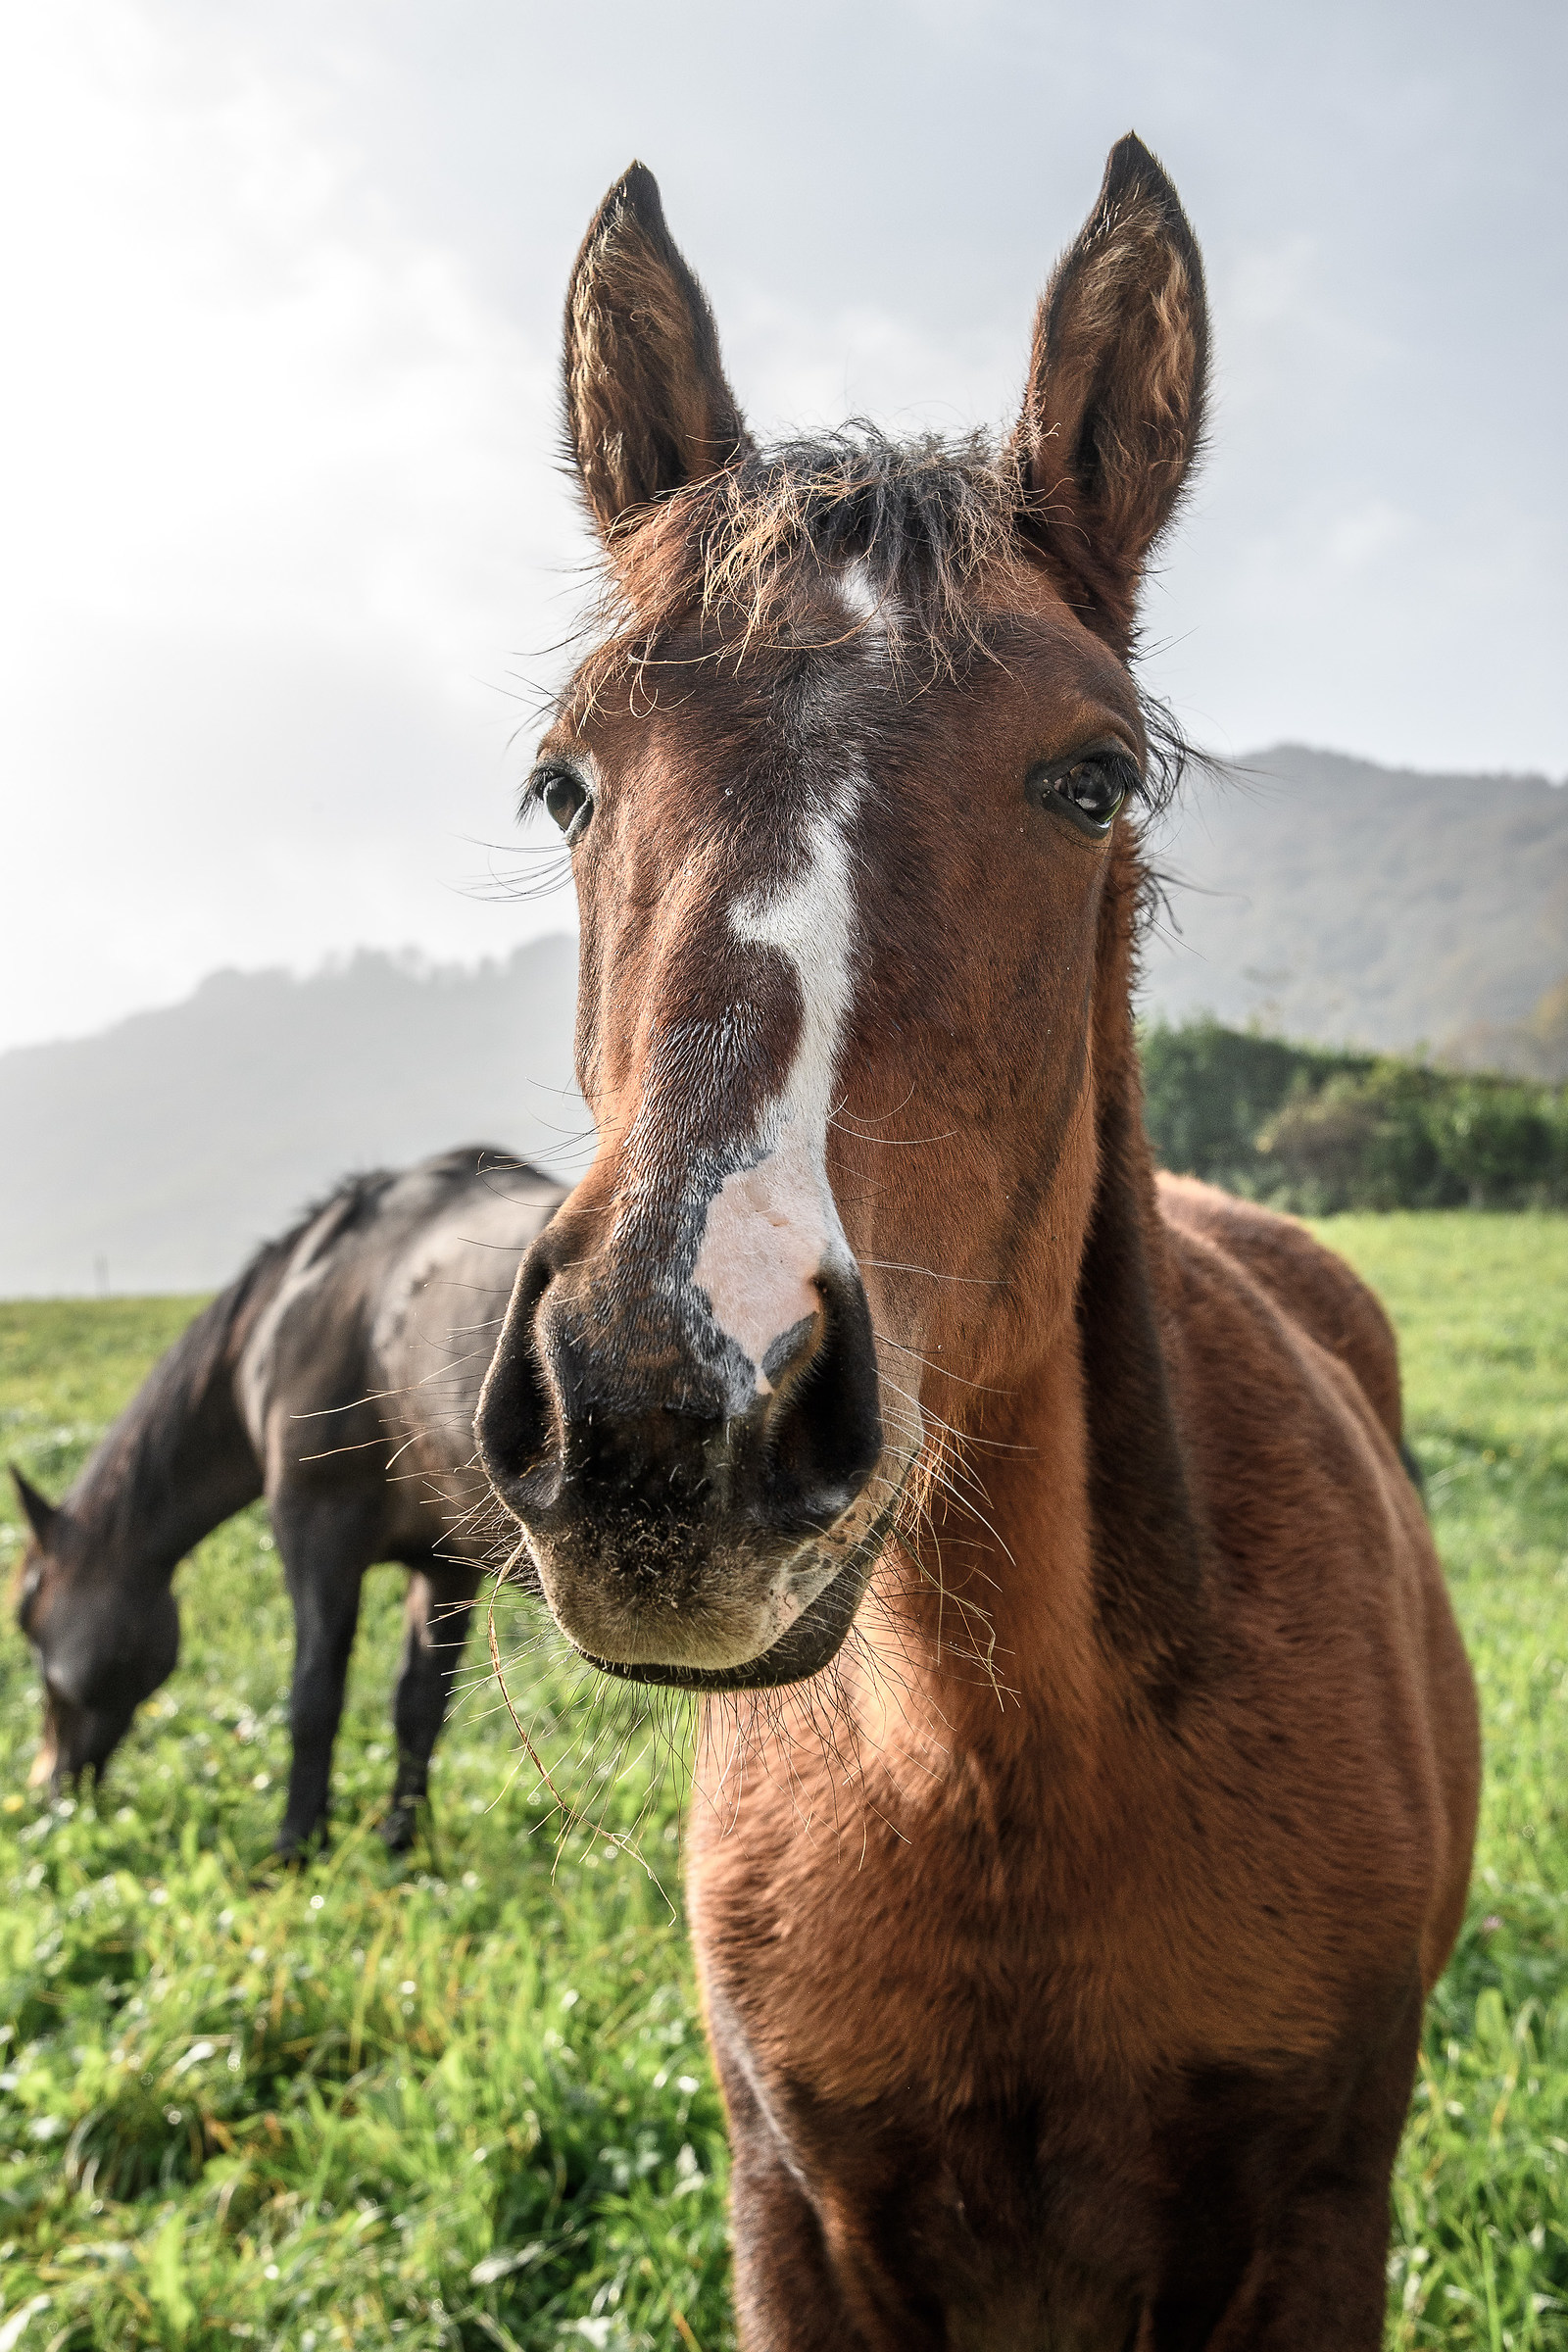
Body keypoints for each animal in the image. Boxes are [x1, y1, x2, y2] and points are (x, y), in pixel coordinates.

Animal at [13, 1146, 562, 1855]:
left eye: (28, 1624)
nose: (45, 1785)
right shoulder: (445, 1565)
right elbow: (419, 1707)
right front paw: (399, 1840)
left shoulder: (314, 1534)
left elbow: (313, 1699)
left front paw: (296, 1847)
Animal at [472, 140, 1481, 2347]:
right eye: (566, 782)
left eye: (1086, 777)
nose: (666, 1411)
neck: (997, 1777)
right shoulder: (792, 2213)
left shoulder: (1318, 2217)